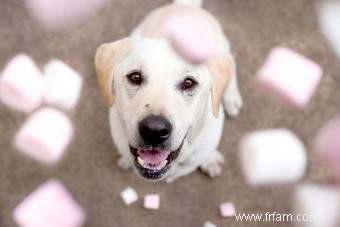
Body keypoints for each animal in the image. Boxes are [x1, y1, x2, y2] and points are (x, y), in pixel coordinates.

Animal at [95, 0, 243, 183]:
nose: (154, 131)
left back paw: (231, 98)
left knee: (232, 62)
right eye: (135, 77)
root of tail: (185, 6)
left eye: (189, 83)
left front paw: (210, 160)